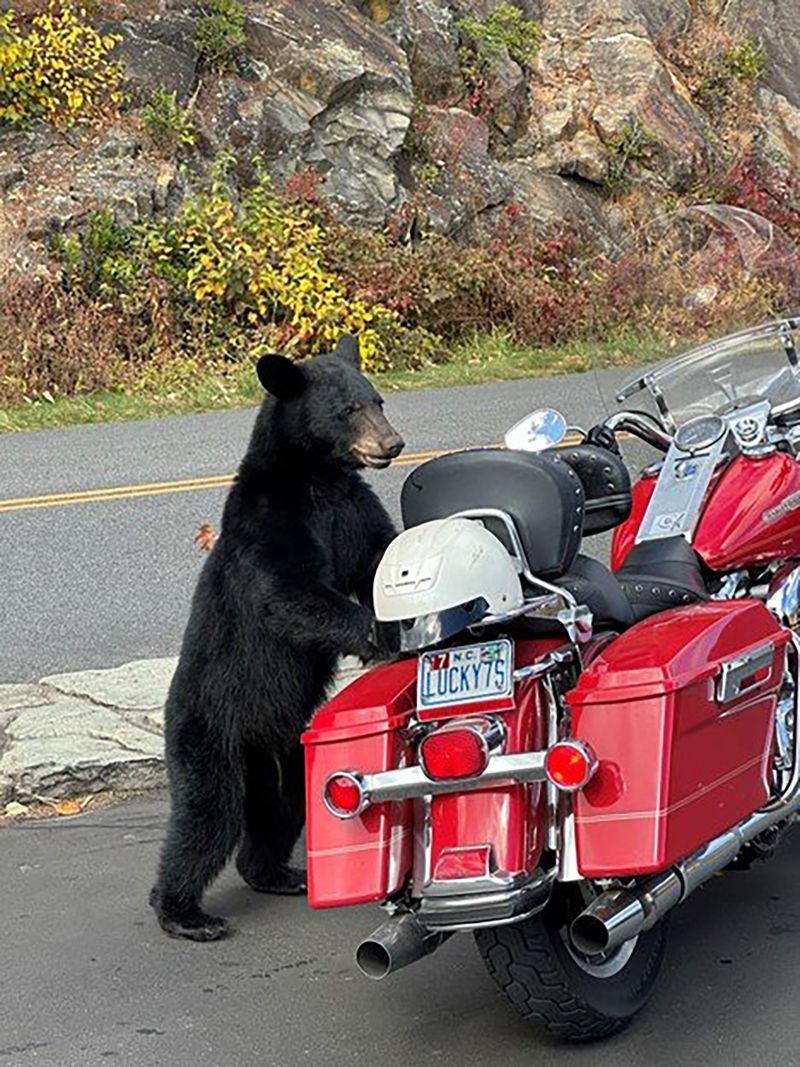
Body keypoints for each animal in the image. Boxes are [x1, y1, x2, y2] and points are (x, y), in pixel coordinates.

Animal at [149, 335, 403, 943]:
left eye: (379, 399)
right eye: (348, 409)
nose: (392, 444)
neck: (318, 478)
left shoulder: (352, 510)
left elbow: (379, 556)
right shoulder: (269, 523)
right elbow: (289, 592)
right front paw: (379, 634)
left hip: (282, 754)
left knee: (282, 810)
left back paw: (277, 872)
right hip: (208, 735)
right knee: (206, 818)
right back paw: (184, 913)